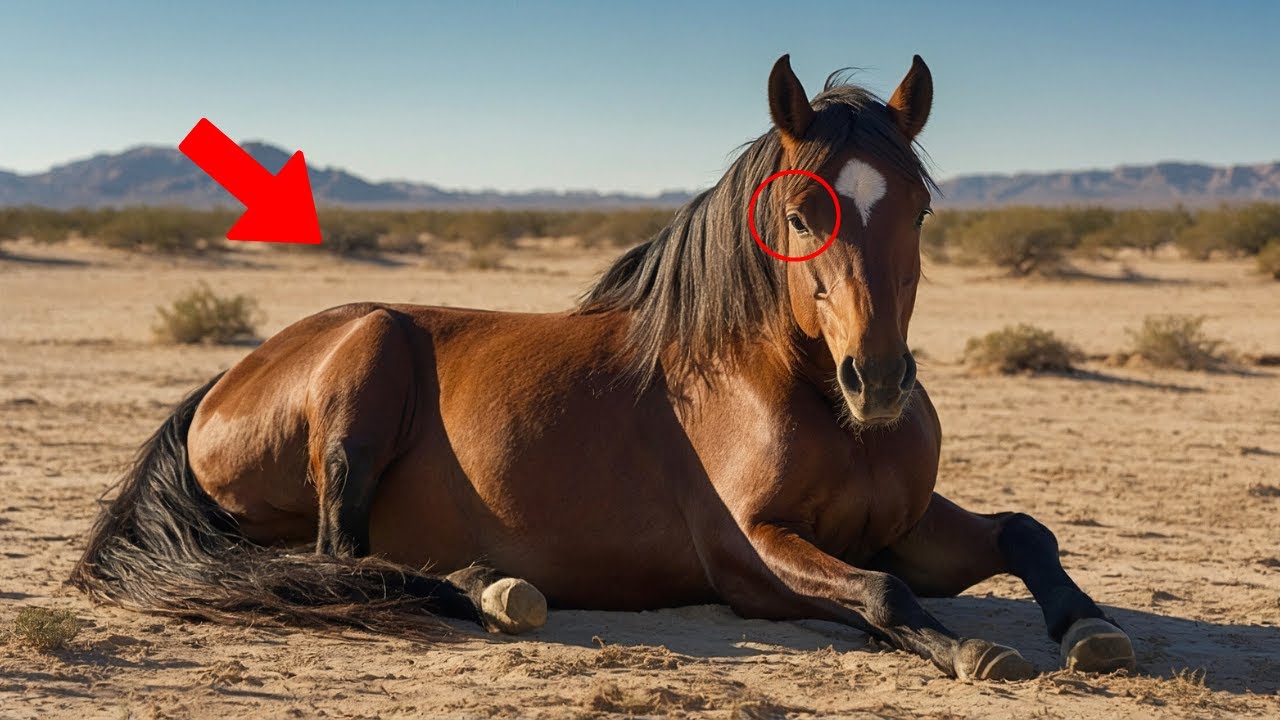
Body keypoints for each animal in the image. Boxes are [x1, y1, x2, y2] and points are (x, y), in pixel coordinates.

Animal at [72, 55, 1136, 680]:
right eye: (801, 214)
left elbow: (1026, 533)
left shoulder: (906, 525)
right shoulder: (756, 555)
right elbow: (882, 595)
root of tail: (221, 384)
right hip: (368, 352)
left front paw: (1089, 629)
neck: (789, 387)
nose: (875, 384)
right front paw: (972, 652)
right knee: (343, 557)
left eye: (918, 208)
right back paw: (490, 590)